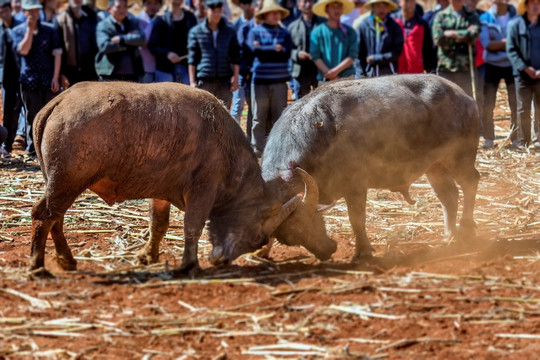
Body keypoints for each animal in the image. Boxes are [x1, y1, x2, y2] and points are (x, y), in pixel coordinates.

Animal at [28, 81, 304, 276]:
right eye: (258, 238)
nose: (222, 260)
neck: (223, 142)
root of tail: (60, 101)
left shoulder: (161, 193)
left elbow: (158, 224)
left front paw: (147, 256)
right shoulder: (203, 189)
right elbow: (192, 226)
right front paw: (189, 264)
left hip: (58, 182)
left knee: (55, 218)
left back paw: (66, 259)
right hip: (67, 182)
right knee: (44, 215)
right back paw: (37, 265)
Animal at [262, 74, 480, 262]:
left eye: (310, 222)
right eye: (292, 238)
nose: (327, 251)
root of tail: (465, 97)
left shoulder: (356, 186)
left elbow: (356, 219)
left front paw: (363, 252)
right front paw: (263, 251)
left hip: (460, 158)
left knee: (470, 182)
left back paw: (466, 229)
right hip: (435, 166)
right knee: (448, 195)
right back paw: (449, 236)